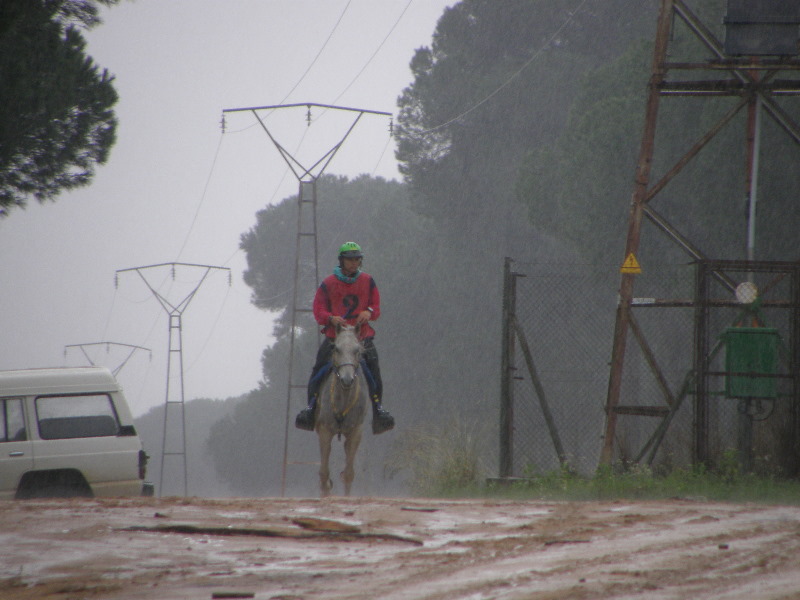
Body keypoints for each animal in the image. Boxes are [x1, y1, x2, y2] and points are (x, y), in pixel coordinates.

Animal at [316, 324, 372, 496]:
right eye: (336, 348)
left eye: (357, 350)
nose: (347, 379)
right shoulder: (324, 431)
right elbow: (324, 473)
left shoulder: (356, 432)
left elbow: (348, 474)